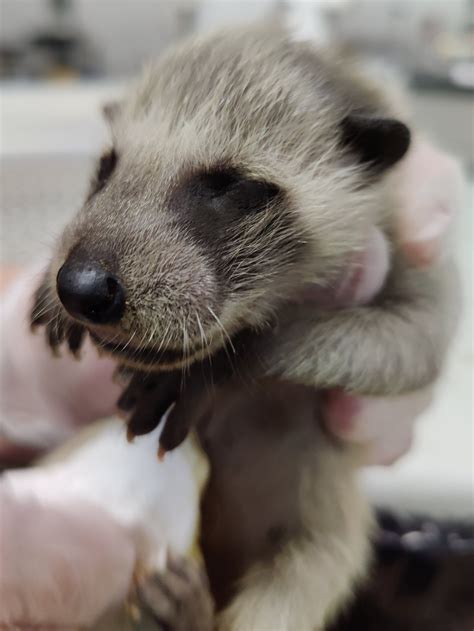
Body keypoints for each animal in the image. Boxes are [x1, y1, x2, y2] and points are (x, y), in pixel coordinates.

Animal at [32, 25, 456, 631]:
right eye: (106, 169)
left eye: (230, 186)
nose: (80, 287)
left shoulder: (412, 246)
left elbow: (413, 342)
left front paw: (224, 362)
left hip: (322, 536)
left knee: (298, 581)